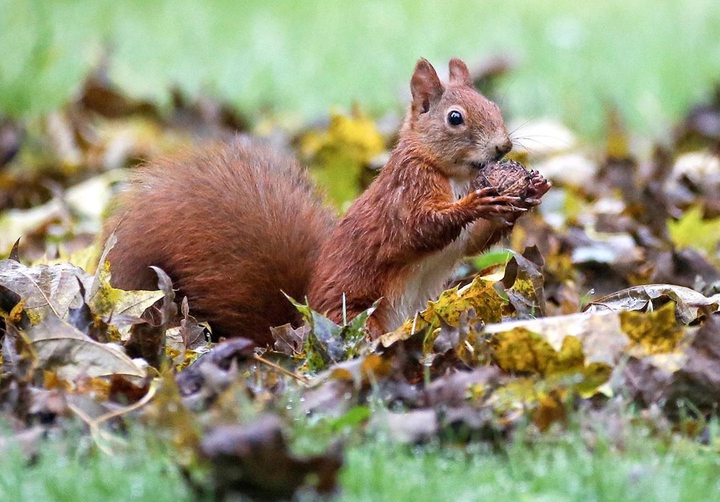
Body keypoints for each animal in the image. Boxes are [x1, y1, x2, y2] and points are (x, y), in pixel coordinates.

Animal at [104, 58, 550, 344]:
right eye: (455, 118)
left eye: (494, 106)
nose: (504, 146)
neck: (455, 175)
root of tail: (298, 331)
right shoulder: (405, 194)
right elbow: (420, 228)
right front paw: (477, 204)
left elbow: (472, 243)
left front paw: (530, 193)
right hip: (357, 313)